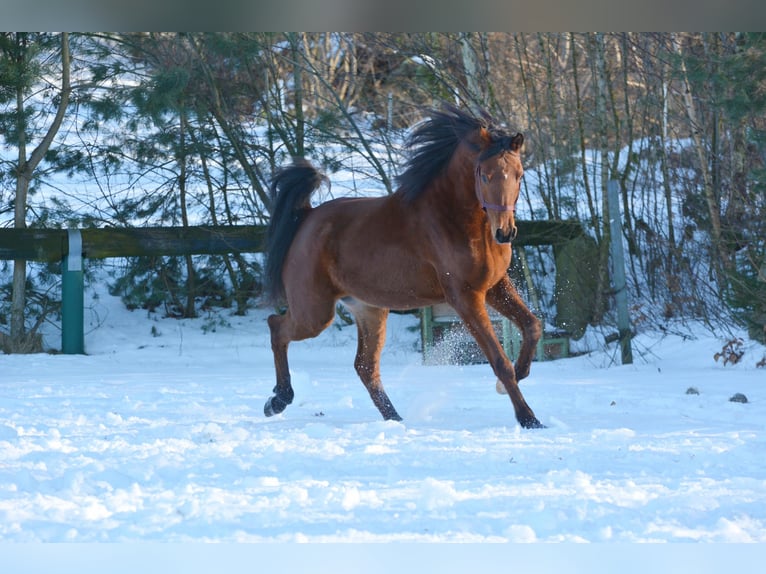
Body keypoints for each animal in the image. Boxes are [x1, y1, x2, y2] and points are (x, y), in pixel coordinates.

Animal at [263, 104, 545, 429]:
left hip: (369, 309)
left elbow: (532, 326)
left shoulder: (495, 286)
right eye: (485, 176)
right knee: (277, 327)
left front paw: (516, 381)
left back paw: (395, 419)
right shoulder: (465, 296)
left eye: (519, 175)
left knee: (365, 366)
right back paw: (278, 400)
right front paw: (529, 419)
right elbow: (499, 360)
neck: (456, 220)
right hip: (315, 313)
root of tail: (307, 218)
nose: (505, 233)